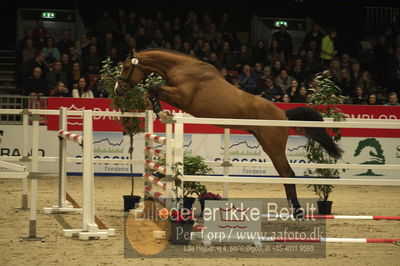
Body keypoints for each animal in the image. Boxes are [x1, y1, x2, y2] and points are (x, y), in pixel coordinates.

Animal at [116, 48, 344, 217]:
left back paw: (297, 211)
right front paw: (160, 111)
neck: (183, 68)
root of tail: (283, 114)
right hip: (266, 143)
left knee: (288, 173)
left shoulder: (181, 96)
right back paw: (292, 210)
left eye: (126, 67)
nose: (118, 90)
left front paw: (160, 111)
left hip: (273, 146)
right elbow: (153, 90)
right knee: (284, 174)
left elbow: (154, 88)